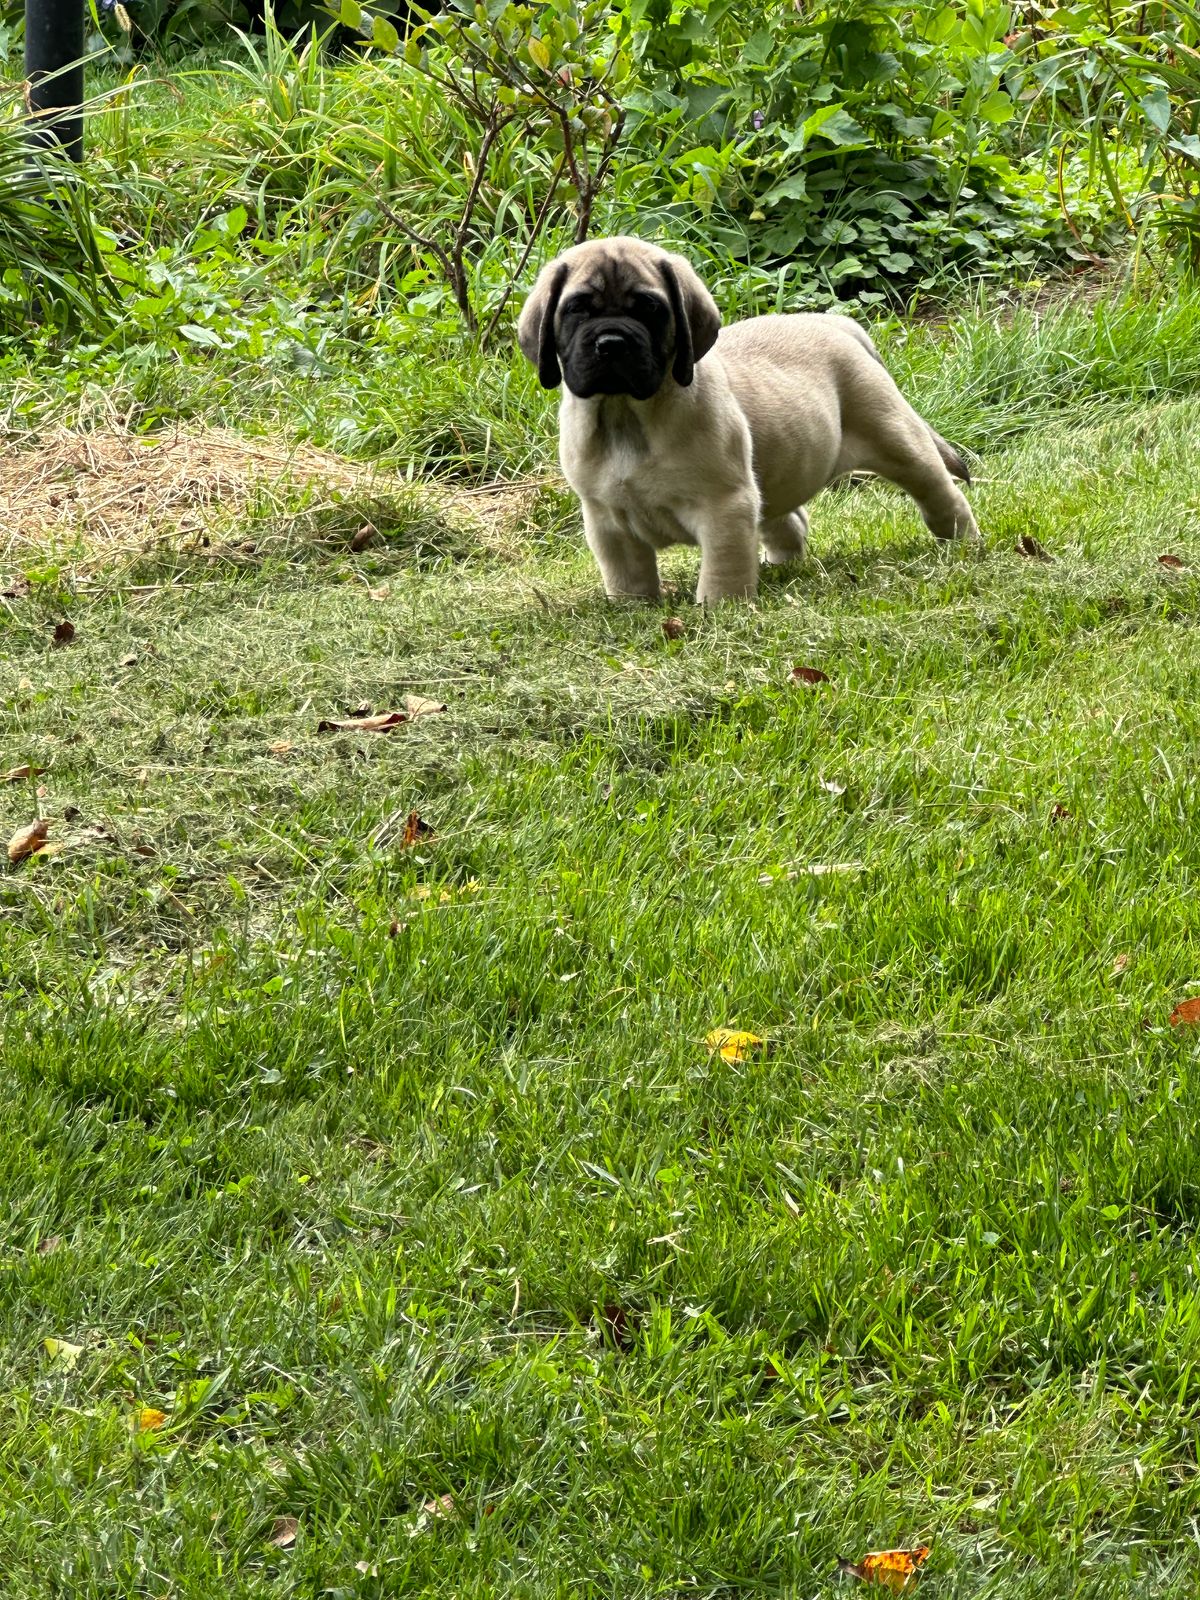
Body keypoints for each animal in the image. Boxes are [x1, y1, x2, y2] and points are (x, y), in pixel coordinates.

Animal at [517, 236, 979, 604]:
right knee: (788, 518)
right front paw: (633, 609)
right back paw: (783, 565)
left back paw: (962, 540)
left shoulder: (725, 506)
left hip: (895, 437)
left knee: (939, 490)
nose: (611, 342)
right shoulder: (608, 521)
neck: (625, 414)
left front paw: (720, 609)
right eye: (577, 309)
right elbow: (627, 576)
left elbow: (724, 568)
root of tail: (837, 323)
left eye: (649, 308)